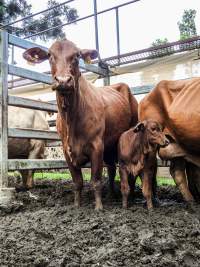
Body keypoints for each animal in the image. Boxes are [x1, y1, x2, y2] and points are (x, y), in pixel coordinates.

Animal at [22, 39, 138, 211]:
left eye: (77, 55)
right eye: (49, 55)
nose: (63, 80)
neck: (71, 118)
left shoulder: (97, 146)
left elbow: (95, 180)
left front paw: (98, 207)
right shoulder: (66, 150)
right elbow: (77, 182)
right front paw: (77, 204)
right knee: (111, 168)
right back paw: (111, 195)